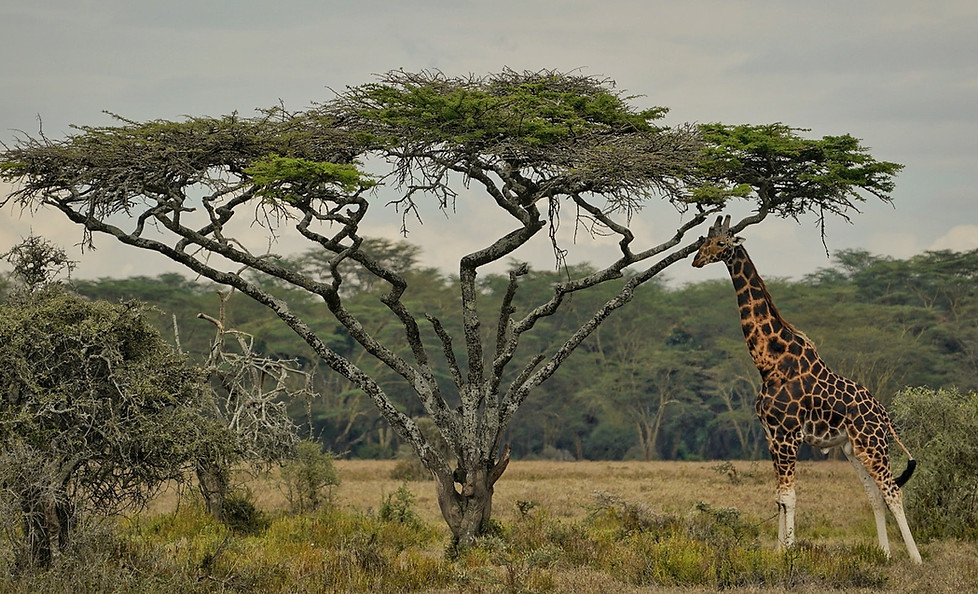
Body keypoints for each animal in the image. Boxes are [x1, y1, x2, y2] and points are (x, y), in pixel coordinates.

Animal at [692, 215, 922, 564]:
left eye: (721, 243)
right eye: (702, 240)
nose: (696, 260)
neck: (769, 362)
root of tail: (884, 414)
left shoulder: (787, 434)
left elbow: (789, 496)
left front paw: (788, 552)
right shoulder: (771, 435)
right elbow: (778, 496)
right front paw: (778, 550)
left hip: (872, 444)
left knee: (893, 490)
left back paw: (916, 559)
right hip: (853, 448)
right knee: (874, 493)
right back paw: (884, 555)